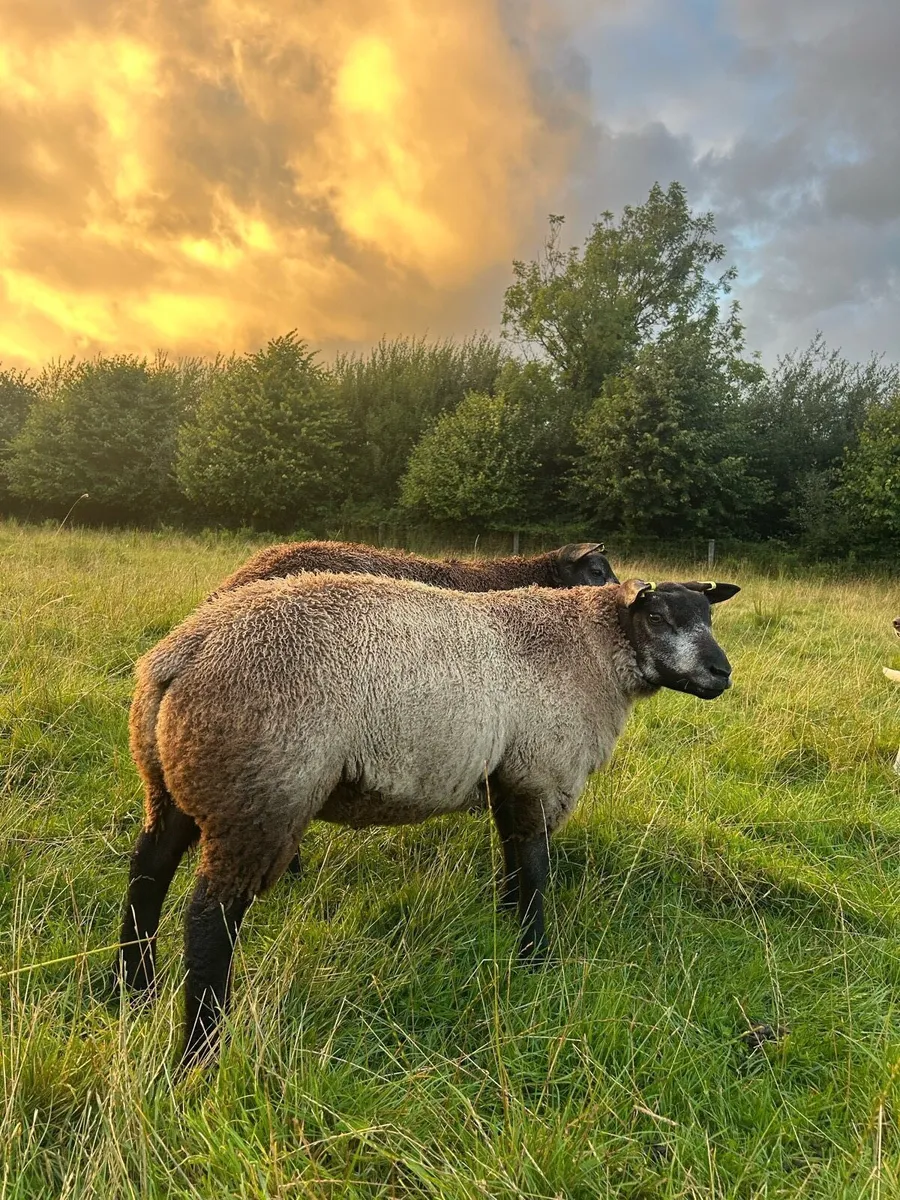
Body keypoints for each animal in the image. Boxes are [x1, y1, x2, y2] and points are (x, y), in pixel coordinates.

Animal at [117, 573, 739, 1068]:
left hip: (173, 781)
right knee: (209, 920)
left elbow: (513, 858)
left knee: (147, 871)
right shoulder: (541, 770)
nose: (721, 673)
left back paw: (133, 990)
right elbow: (536, 869)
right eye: (657, 616)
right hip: (257, 795)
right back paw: (200, 1051)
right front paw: (536, 958)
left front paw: (505, 922)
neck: (590, 648)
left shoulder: (508, 774)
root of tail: (183, 651)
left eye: (708, 616)